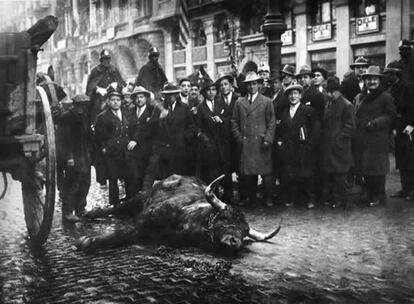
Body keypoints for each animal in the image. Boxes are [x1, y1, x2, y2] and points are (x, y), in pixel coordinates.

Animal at [76, 175, 280, 253]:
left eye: (244, 232)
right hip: (138, 198)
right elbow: (118, 234)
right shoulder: (140, 222)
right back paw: (90, 213)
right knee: (116, 208)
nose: (234, 241)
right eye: (225, 217)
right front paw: (86, 241)